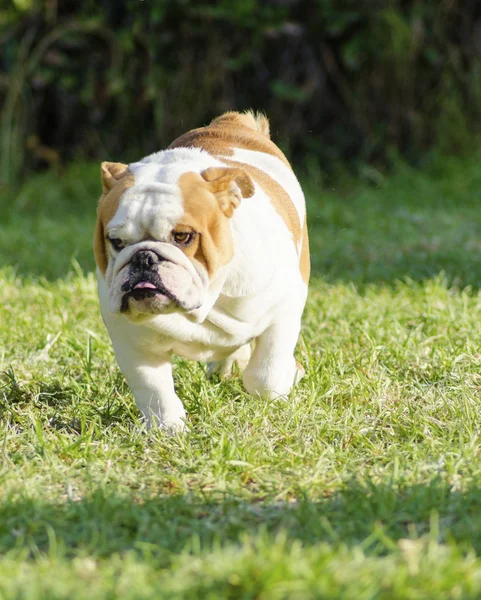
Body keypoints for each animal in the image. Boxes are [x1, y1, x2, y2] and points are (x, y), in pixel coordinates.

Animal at [94, 111, 310, 432]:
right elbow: (153, 388)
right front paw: (168, 428)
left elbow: (266, 375)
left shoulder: (284, 308)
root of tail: (233, 121)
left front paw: (283, 381)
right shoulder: (133, 341)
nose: (144, 257)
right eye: (116, 242)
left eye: (182, 237)